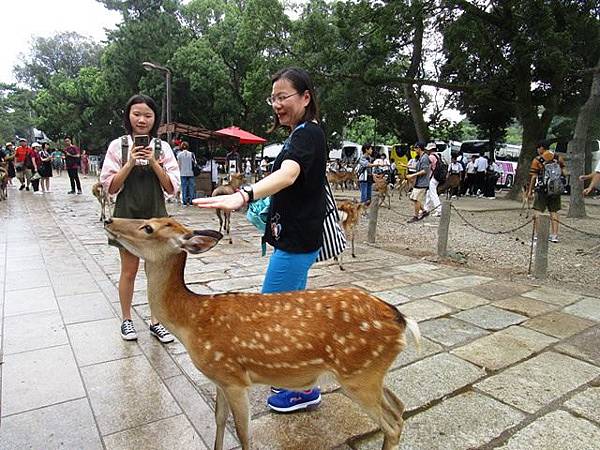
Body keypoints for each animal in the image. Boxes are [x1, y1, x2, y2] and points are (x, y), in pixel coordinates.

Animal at [103, 217, 422, 450]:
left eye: (148, 227)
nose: (108, 219)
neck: (192, 321)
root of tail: (402, 319)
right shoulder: (219, 378)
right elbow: (219, 419)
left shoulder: (234, 378)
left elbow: (243, 433)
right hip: (370, 373)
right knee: (399, 407)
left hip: (359, 375)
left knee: (392, 422)